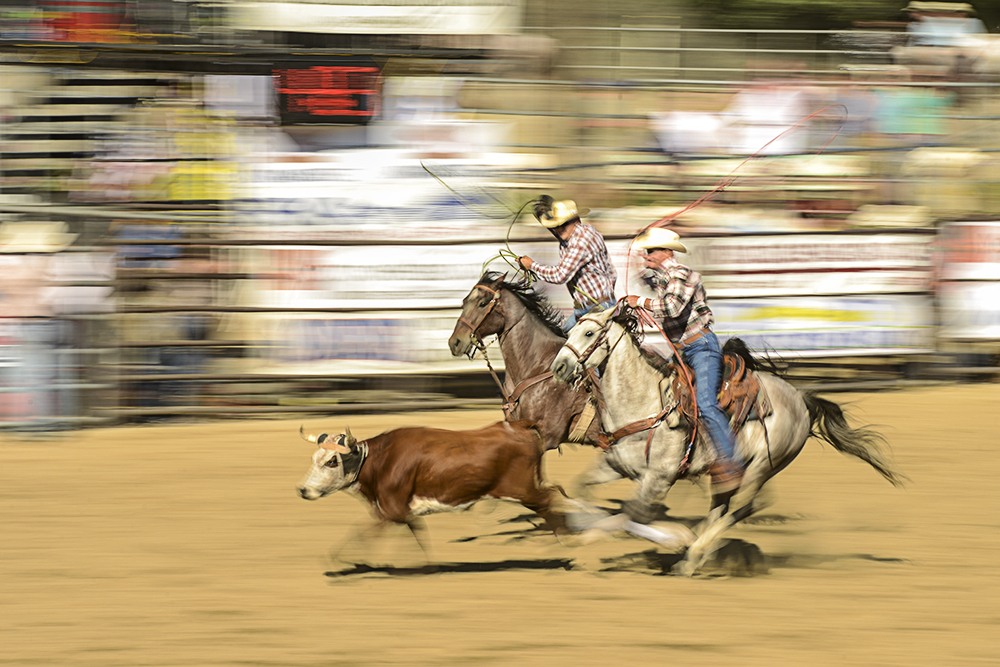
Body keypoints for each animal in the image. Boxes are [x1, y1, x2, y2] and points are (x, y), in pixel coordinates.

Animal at [548, 306, 908, 576]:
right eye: (572, 329)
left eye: (589, 334)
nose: (560, 367)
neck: (644, 402)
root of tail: (800, 398)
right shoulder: (614, 465)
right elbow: (583, 491)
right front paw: (574, 534)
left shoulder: (659, 478)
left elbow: (630, 516)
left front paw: (673, 537)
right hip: (726, 471)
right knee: (720, 508)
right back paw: (698, 552)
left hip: (762, 466)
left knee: (745, 507)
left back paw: (695, 552)